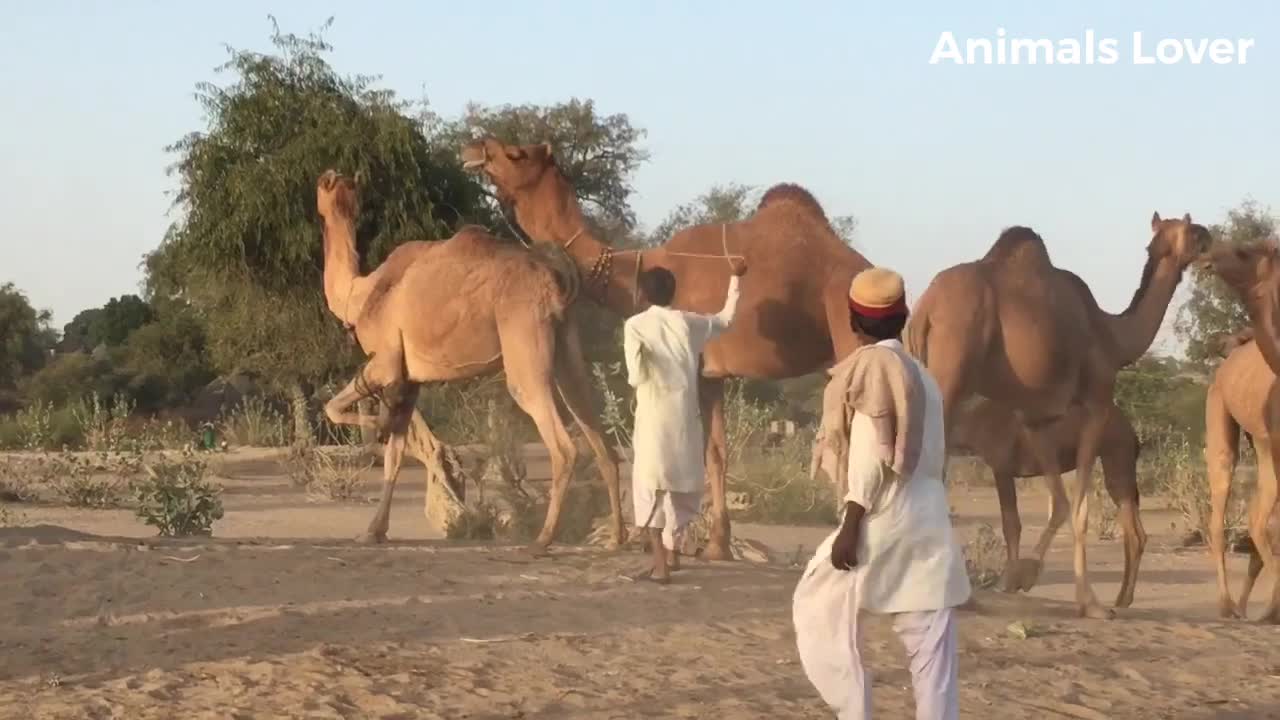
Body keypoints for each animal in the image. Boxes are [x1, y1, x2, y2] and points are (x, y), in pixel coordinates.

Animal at [314, 169, 624, 548]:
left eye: (325, 186)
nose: (327, 175)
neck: (359, 295)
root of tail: (559, 277)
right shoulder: (410, 379)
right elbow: (395, 455)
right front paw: (375, 530)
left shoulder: (385, 362)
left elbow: (335, 409)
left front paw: (383, 428)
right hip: (567, 341)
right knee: (596, 428)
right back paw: (618, 536)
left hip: (524, 334)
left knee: (561, 442)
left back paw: (543, 537)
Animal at [458, 135, 870, 561]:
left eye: (515, 153)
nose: (474, 148)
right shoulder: (711, 373)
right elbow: (716, 453)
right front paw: (716, 546)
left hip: (849, 331)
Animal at [952, 394, 1152, 607]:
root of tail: (1131, 432)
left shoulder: (1002, 467)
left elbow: (1011, 525)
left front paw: (1007, 583)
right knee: (1133, 532)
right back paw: (1121, 599)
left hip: (1113, 460)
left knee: (1125, 530)